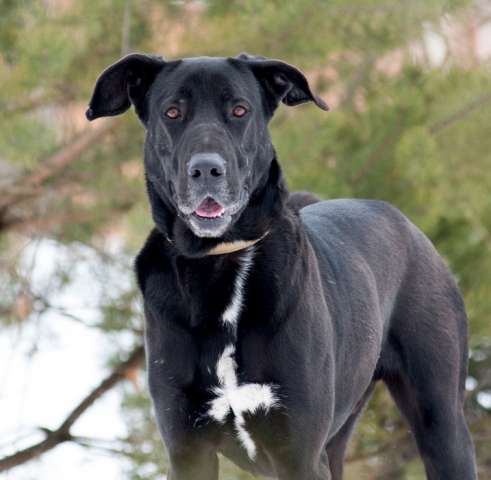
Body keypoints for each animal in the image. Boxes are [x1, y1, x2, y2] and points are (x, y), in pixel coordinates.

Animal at [87, 53, 476, 480]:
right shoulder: (188, 448)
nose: (206, 170)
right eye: (172, 112)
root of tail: (400, 218)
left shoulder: (299, 452)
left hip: (441, 418)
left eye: (239, 110)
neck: (221, 264)